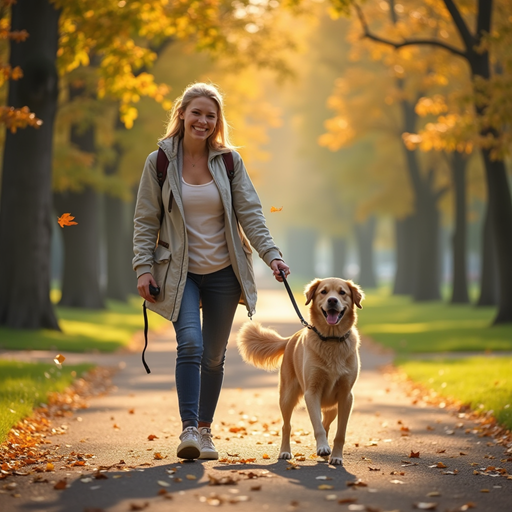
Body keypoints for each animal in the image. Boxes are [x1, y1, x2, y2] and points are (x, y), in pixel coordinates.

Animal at [237, 278, 364, 466]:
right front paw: (323, 447)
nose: (332, 301)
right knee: (287, 426)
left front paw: (336, 456)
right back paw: (285, 452)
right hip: (287, 396)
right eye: (323, 292)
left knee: (326, 423)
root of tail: (290, 339)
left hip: (332, 407)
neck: (331, 340)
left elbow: (340, 433)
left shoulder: (346, 396)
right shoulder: (311, 392)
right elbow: (317, 426)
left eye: (342, 292)